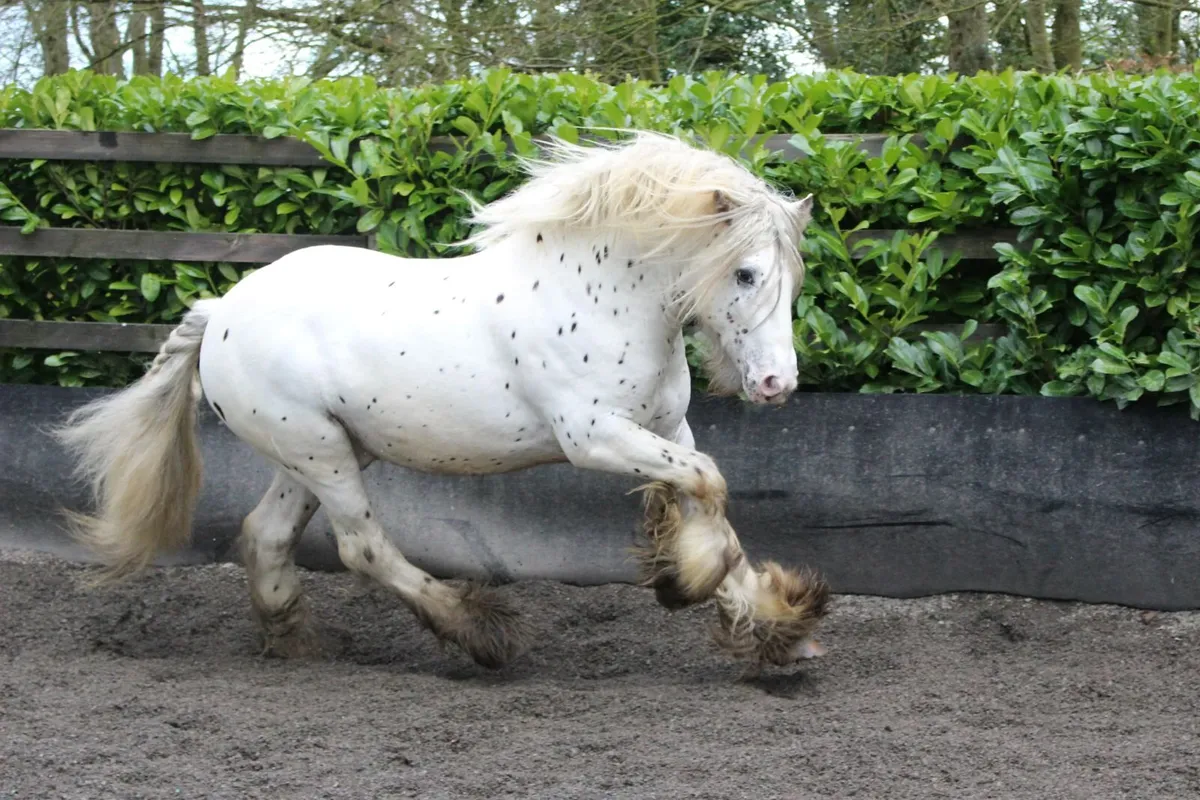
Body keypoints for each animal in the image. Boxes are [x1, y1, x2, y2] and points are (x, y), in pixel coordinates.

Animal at [53, 130, 831, 672]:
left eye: (791, 278)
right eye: (745, 273)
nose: (777, 385)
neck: (601, 298)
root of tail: (220, 312)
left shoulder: (669, 428)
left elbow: (712, 507)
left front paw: (776, 627)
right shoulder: (593, 436)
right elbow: (712, 489)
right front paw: (688, 584)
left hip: (315, 451)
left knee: (266, 534)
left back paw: (293, 642)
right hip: (321, 452)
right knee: (362, 547)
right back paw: (481, 632)